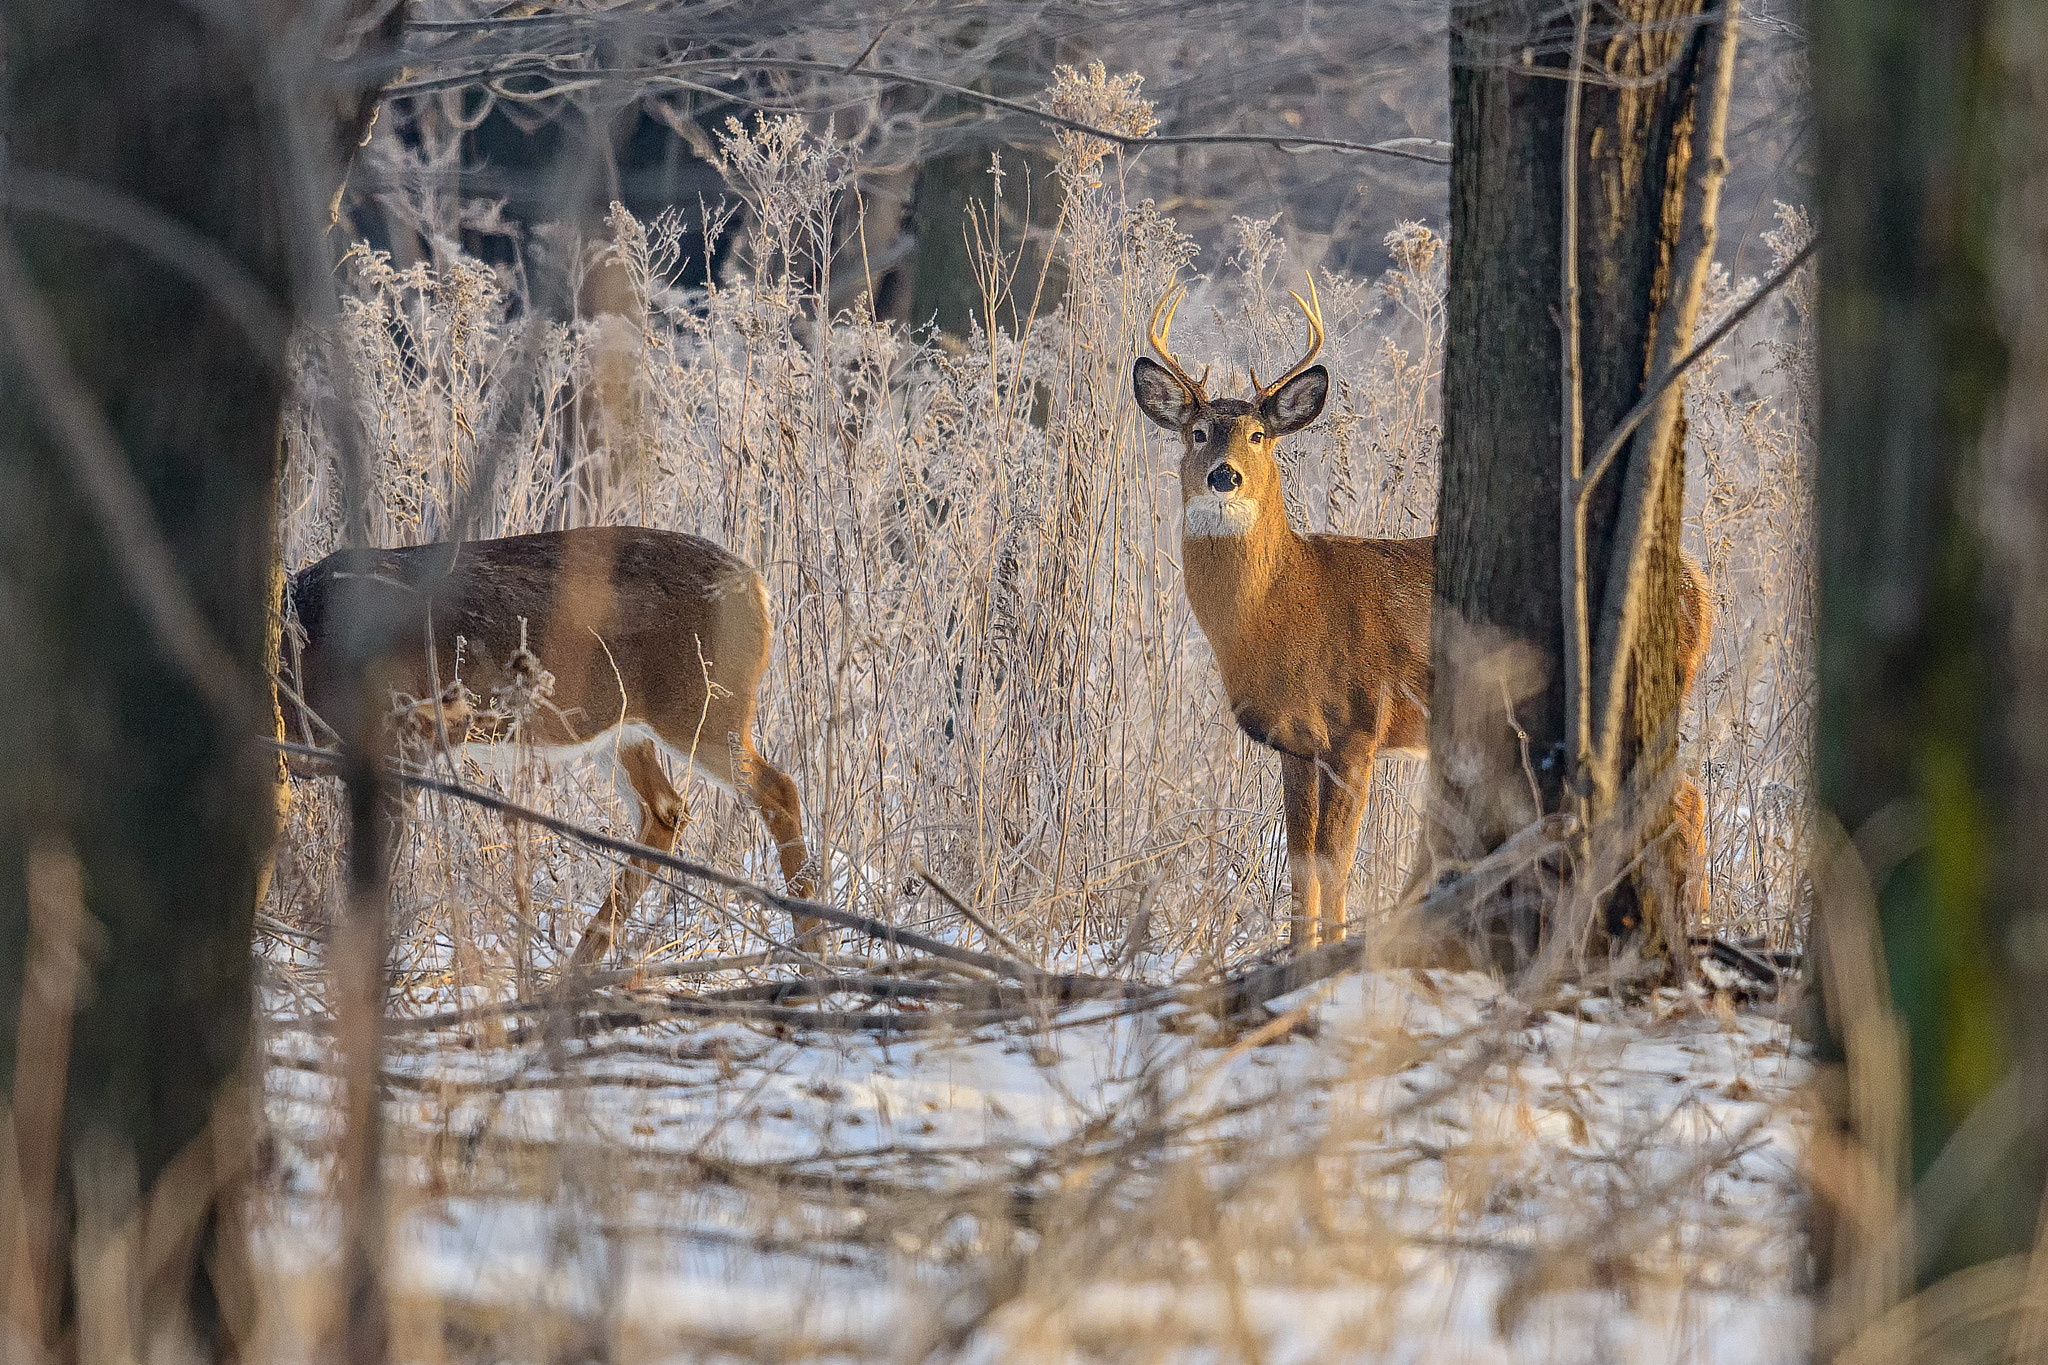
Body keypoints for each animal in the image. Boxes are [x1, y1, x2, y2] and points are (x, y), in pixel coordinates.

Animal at [288, 523, 815, 961]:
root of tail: (758, 585)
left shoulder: (403, 738)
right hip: (623, 729)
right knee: (666, 810)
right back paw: (580, 967)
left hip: (703, 709)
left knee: (778, 789)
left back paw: (813, 951)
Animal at [1138, 284, 1712, 957]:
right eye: (1197, 432)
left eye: (1258, 435)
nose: (1222, 475)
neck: (1285, 606)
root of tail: (1700, 586)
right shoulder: (1297, 741)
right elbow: (1302, 862)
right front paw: (1299, 950)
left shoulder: (1358, 723)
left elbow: (1336, 860)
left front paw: (1333, 951)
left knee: (1685, 798)